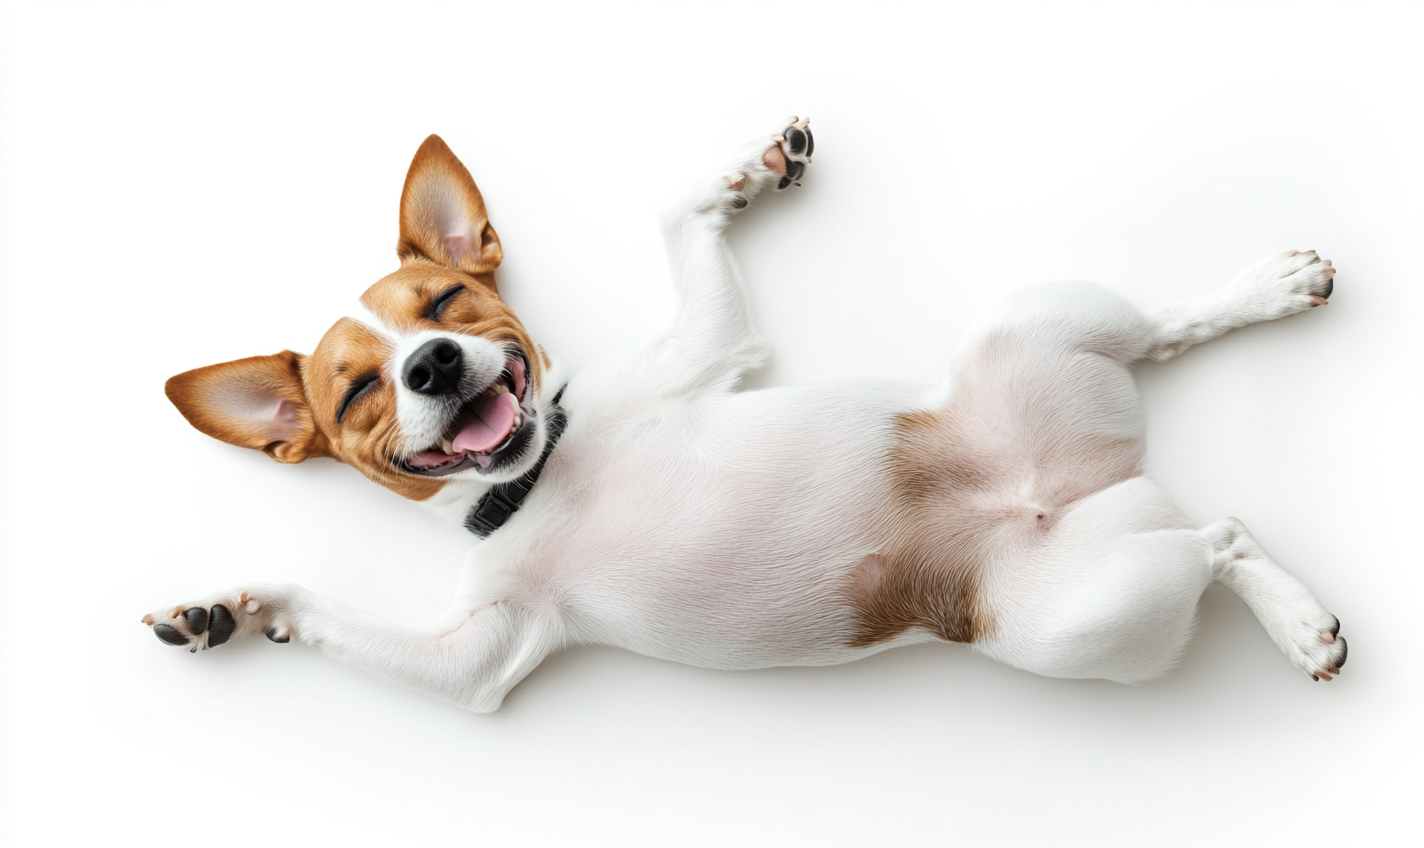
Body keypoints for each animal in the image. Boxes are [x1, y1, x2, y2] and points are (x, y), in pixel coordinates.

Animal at [144, 117, 1344, 708]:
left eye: (444, 304)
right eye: (359, 390)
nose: (435, 363)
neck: (537, 477)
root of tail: (1080, 481)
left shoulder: (702, 346)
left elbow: (676, 217)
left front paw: (748, 170)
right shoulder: (478, 655)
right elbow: (328, 615)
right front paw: (231, 609)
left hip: (1037, 363)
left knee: (1177, 358)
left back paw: (1264, 297)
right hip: (1071, 609)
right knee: (1219, 533)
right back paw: (1294, 615)